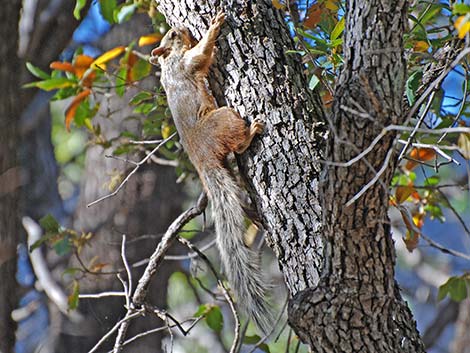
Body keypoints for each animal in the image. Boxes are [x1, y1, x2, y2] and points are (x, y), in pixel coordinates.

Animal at [149, 11, 274, 330]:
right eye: (171, 34)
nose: (180, 27)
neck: (169, 61)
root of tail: (203, 161)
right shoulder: (186, 63)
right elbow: (202, 54)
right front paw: (215, 26)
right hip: (224, 119)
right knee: (238, 144)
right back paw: (251, 132)